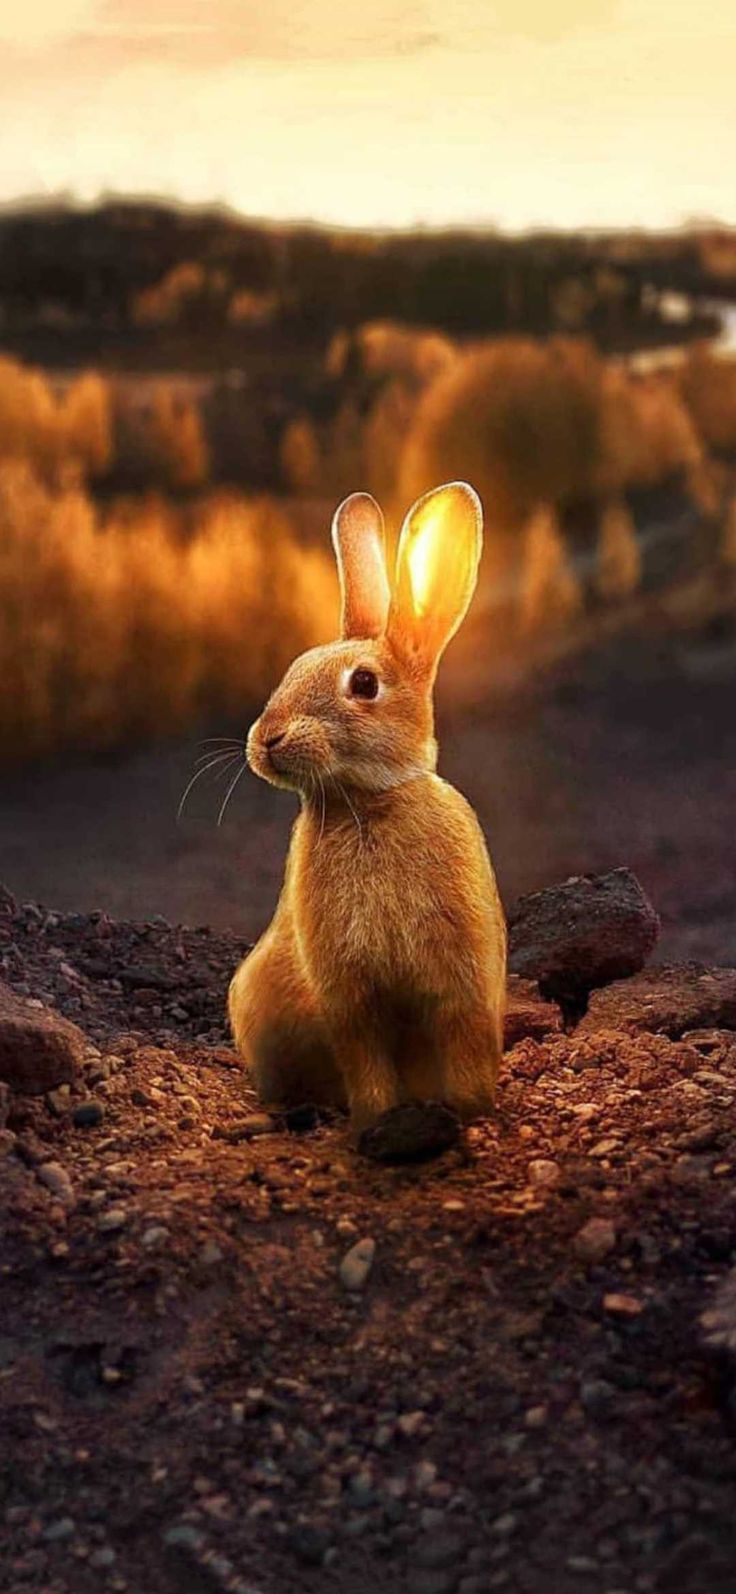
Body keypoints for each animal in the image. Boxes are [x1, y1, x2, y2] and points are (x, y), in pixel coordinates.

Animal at [228, 481, 507, 1134]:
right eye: (294, 667)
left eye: (363, 685)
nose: (266, 738)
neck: (368, 802)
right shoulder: (349, 997)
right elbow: (365, 1055)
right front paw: (379, 1120)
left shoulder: (460, 981)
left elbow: (463, 1039)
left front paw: (469, 1110)